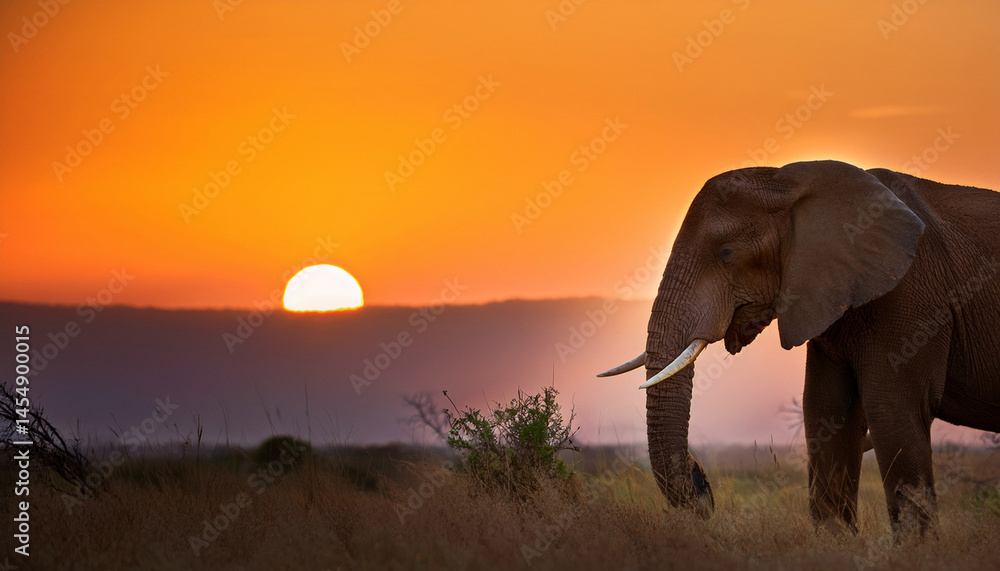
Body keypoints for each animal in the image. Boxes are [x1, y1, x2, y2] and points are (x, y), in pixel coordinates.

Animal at [599, 160, 1000, 538]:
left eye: (726, 252)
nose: (703, 485)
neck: (792, 181)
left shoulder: (911, 299)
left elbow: (894, 411)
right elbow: (826, 412)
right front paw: (837, 545)